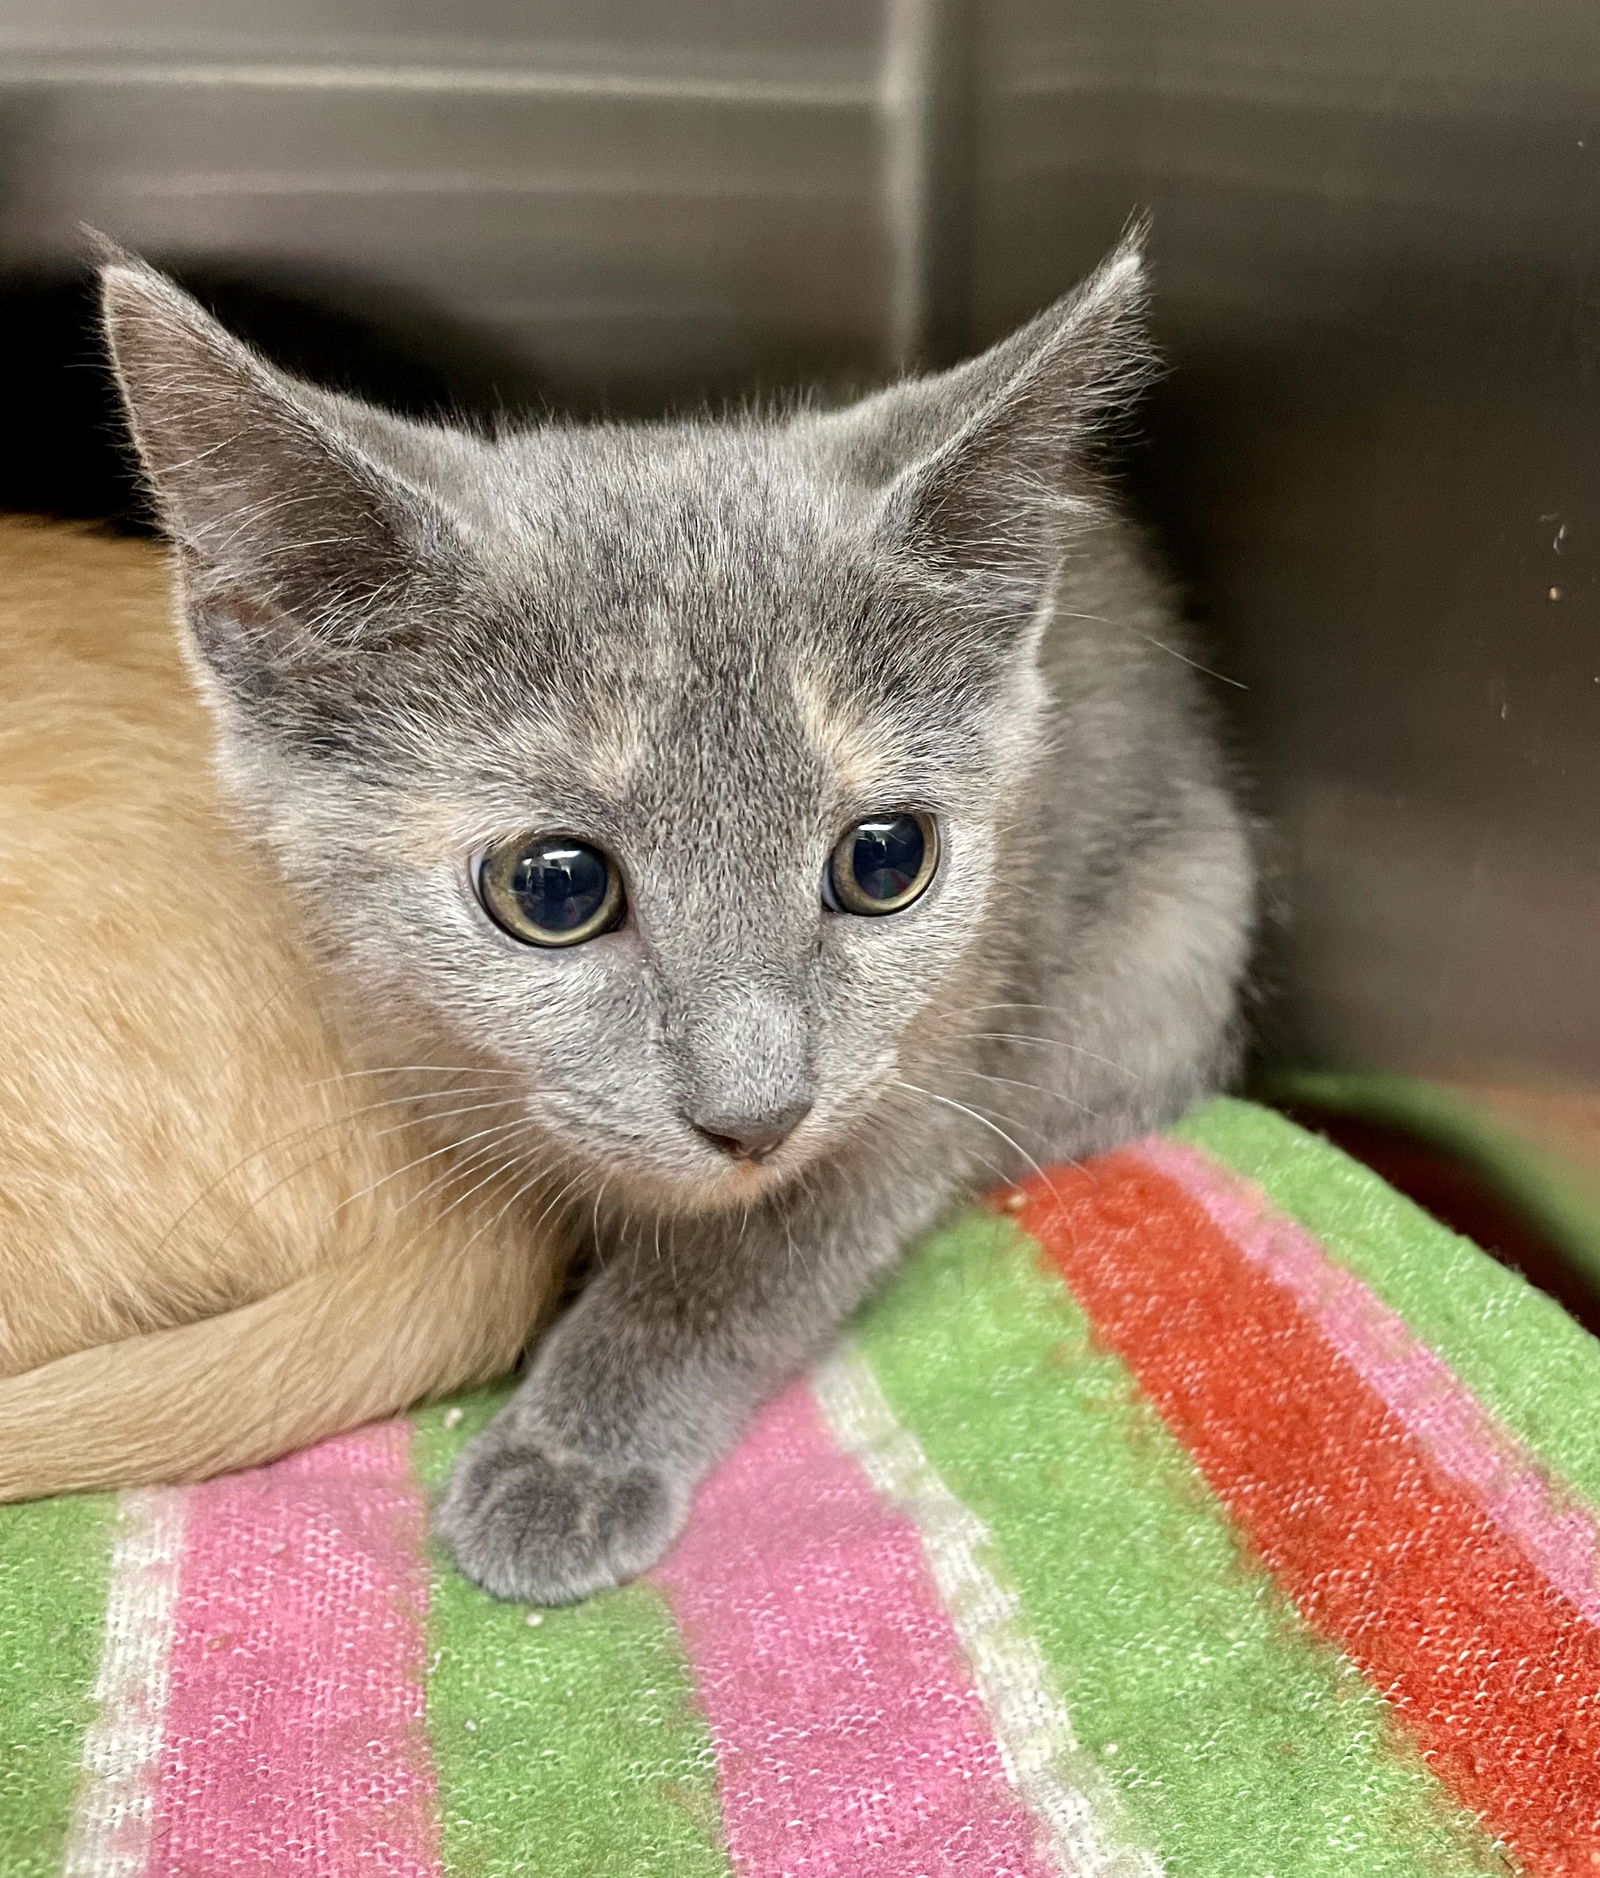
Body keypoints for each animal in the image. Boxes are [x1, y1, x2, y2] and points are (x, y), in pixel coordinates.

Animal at [103, 230, 1246, 1600]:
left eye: (885, 860)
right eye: (553, 887)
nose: (755, 1115)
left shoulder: (925, 1066)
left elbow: (742, 1264)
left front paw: (570, 1458)